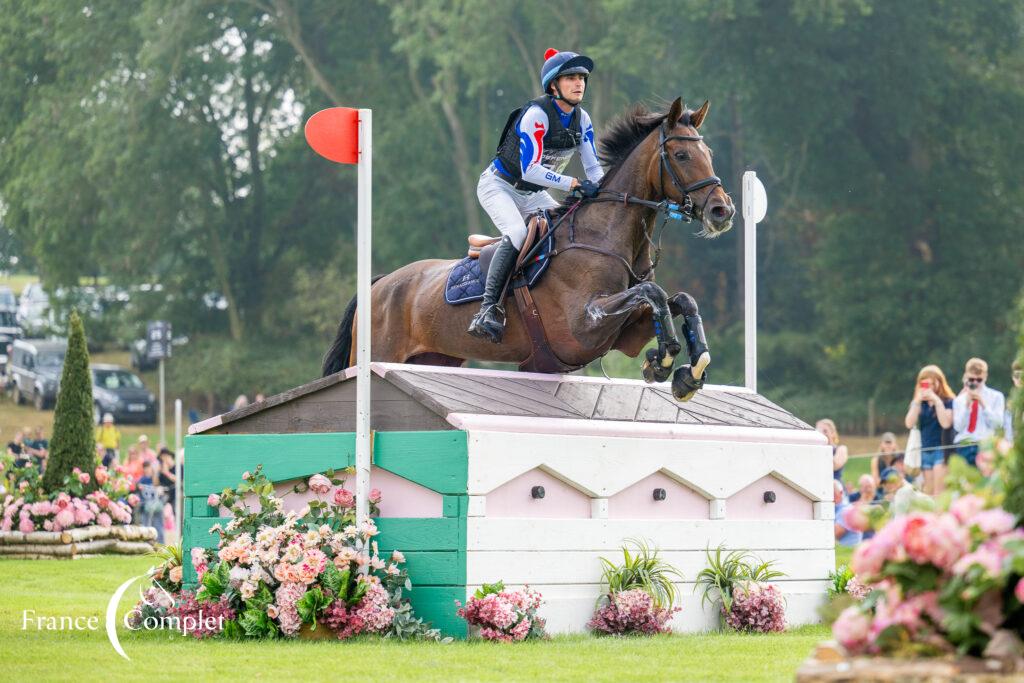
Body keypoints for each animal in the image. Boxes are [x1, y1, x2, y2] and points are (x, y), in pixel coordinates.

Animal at [323, 96, 733, 401]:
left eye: (709, 153)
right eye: (681, 156)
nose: (722, 210)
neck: (607, 236)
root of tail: (379, 284)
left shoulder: (624, 332)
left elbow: (679, 299)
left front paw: (689, 370)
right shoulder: (583, 326)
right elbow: (653, 292)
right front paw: (664, 362)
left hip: (432, 358)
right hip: (378, 355)